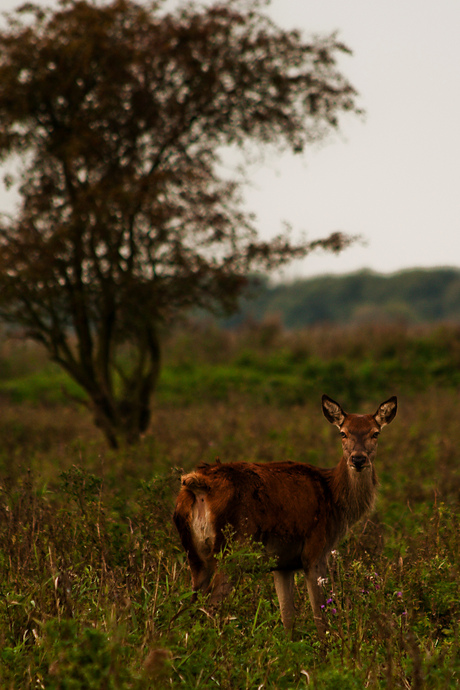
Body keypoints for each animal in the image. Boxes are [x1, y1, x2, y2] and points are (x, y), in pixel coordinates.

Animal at [174, 392, 398, 636]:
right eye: (343, 432)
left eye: (375, 433)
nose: (358, 459)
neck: (335, 500)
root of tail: (197, 485)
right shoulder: (315, 552)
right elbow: (320, 618)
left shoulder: (282, 564)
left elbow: (288, 619)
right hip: (231, 551)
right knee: (208, 608)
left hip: (195, 555)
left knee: (185, 611)